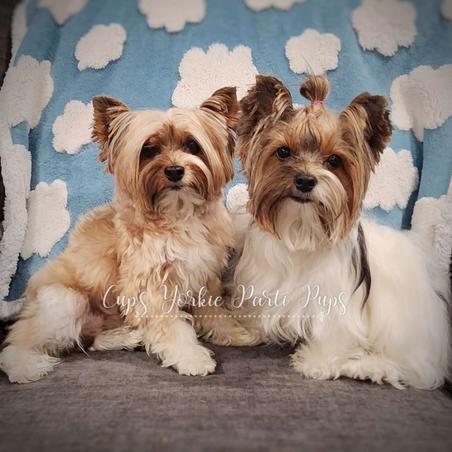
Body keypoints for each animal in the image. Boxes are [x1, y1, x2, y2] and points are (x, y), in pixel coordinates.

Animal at [0, 87, 257, 383]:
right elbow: (171, 326)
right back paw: (26, 366)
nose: (174, 170)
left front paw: (235, 333)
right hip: (65, 301)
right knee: (18, 345)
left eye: (192, 146)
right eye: (149, 150)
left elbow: (214, 312)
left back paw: (126, 337)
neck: (177, 215)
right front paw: (191, 357)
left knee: (89, 340)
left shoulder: (203, 277)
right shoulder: (149, 287)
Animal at [229, 74, 450, 389]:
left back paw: (369, 368)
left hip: (403, 325)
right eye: (283, 152)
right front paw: (248, 330)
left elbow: (332, 334)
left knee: (419, 369)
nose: (306, 180)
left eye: (334, 161)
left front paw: (316, 363)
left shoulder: (336, 304)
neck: (302, 230)